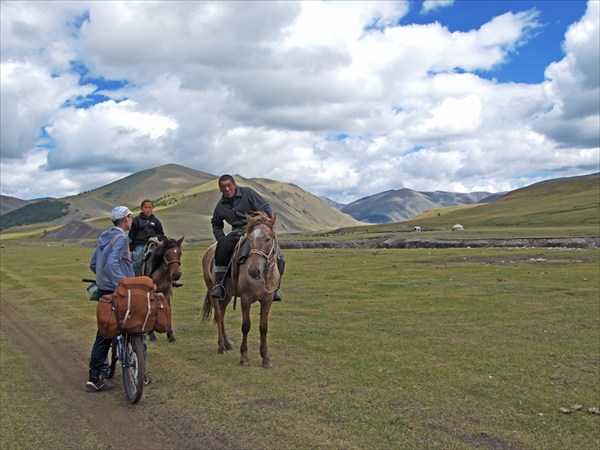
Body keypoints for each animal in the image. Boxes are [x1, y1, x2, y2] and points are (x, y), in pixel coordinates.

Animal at [199, 213, 278, 368]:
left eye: (267, 238)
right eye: (250, 239)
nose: (253, 271)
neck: (264, 276)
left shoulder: (268, 300)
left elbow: (263, 327)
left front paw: (266, 358)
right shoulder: (246, 299)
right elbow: (246, 326)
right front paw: (244, 357)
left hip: (227, 295)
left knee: (222, 314)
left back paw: (227, 343)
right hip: (213, 292)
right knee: (218, 315)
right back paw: (221, 346)